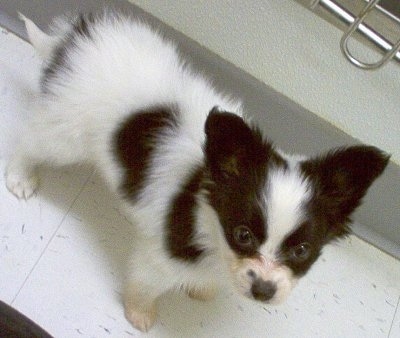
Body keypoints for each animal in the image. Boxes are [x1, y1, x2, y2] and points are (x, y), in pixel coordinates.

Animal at [4, 11, 390, 332]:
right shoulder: (161, 255)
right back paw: (20, 177)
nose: (263, 290)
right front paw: (139, 313)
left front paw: (202, 289)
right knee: (32, 140)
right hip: (66, 132)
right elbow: (147, 282)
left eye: (301, 251)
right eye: (243, 235)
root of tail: (76, 38)